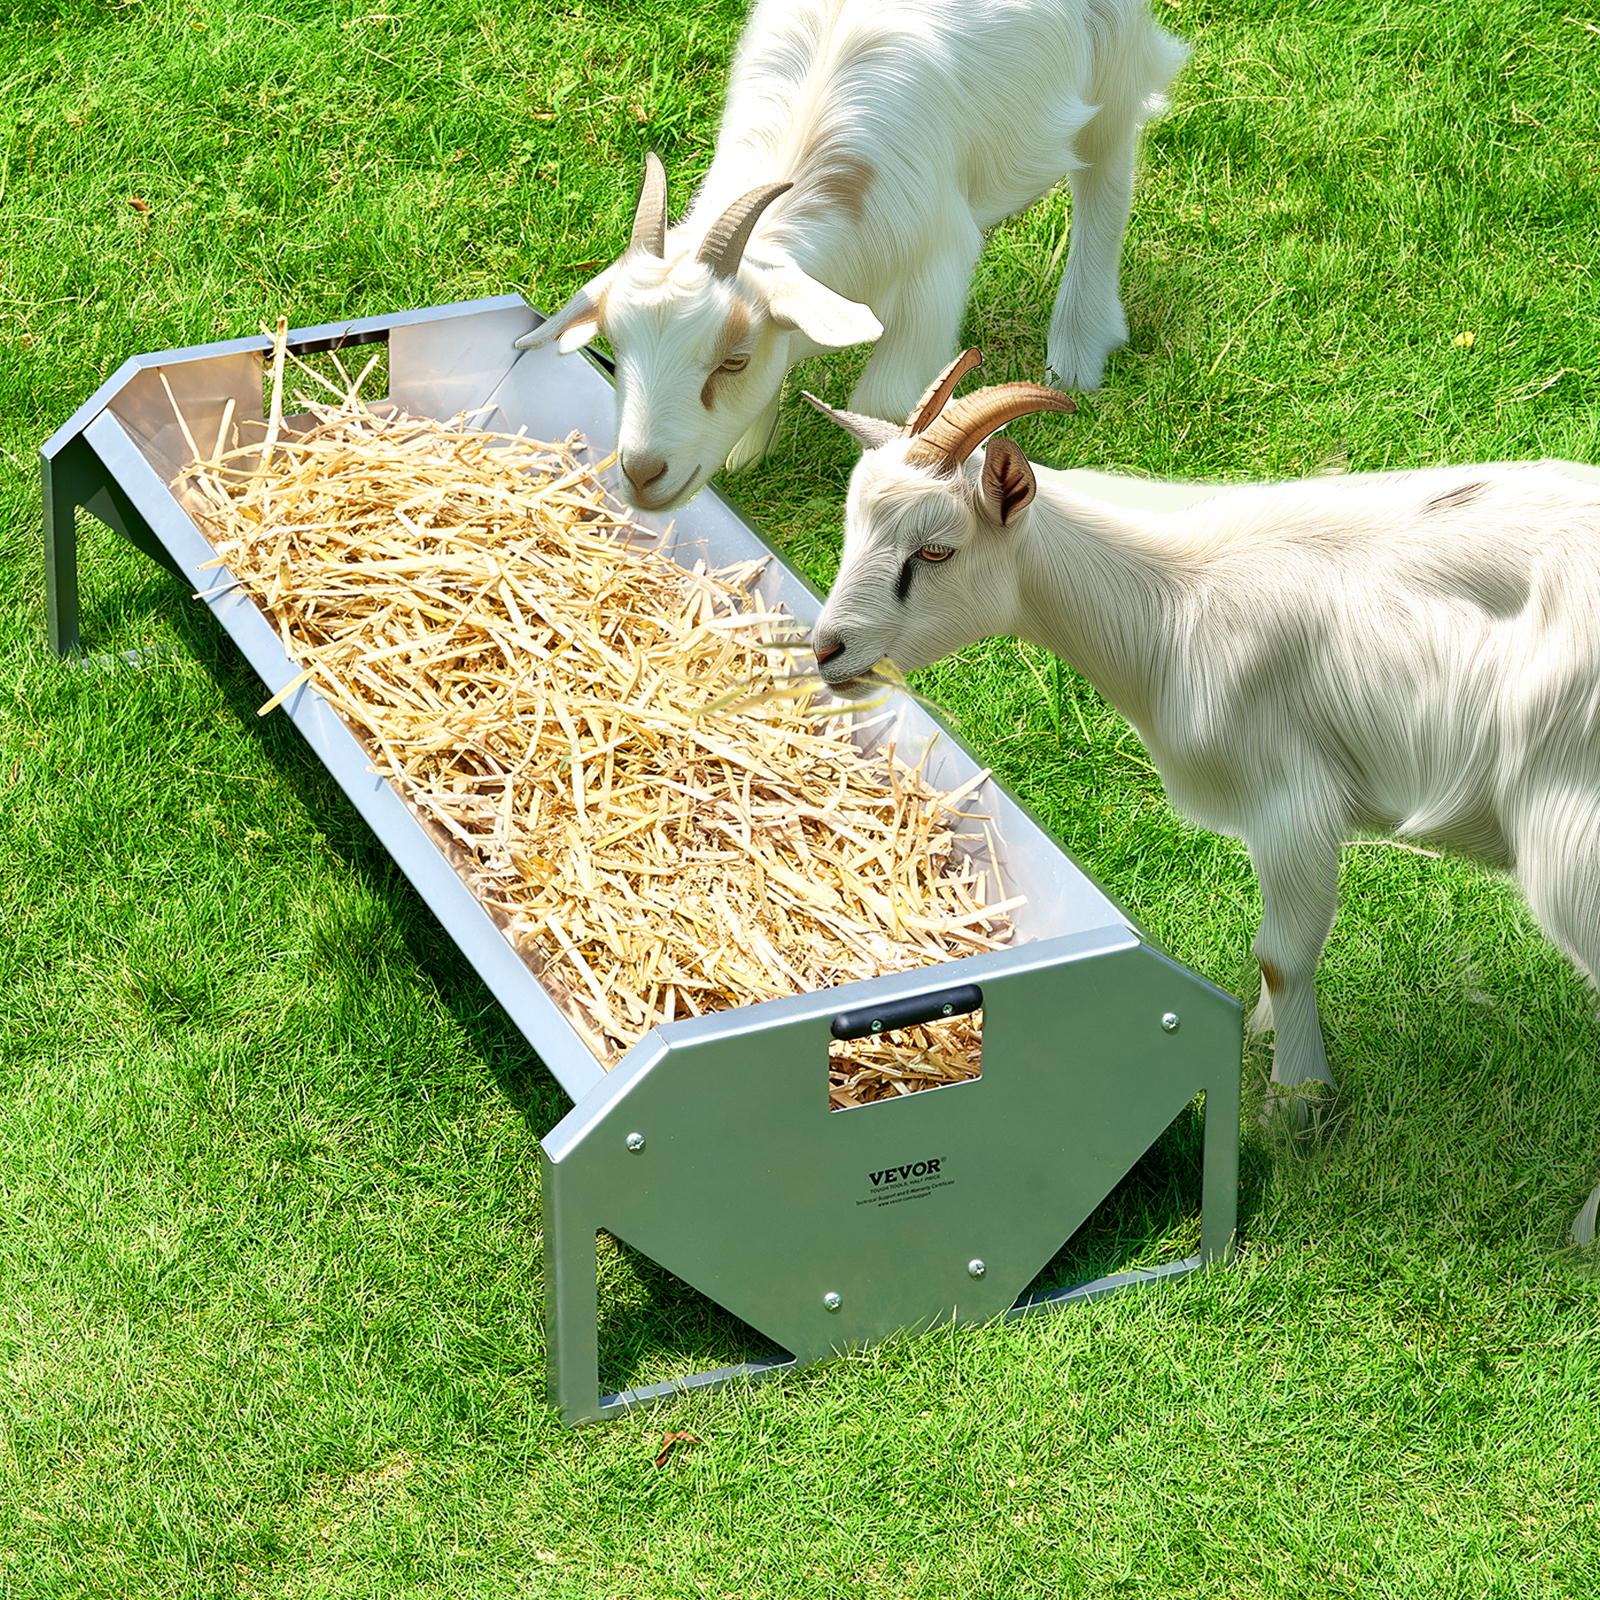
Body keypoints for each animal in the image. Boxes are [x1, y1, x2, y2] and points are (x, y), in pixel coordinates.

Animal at [514, 0, 1188, 511]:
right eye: (616, 345)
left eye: (733, 361)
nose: (641, 474)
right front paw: (748, 450)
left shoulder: (936, 264)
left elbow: (882, 401)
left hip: (1111, 46)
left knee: (1107, 164)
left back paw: (1080, 347)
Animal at [808, 349, 1600, 1237]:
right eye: (852, 528)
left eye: (937, 552)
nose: (828, 650)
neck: (1169, 598)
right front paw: (1263, 1038)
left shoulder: (1291, 796)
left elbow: (1283, 954)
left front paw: (1296, 1106)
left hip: (1570, 830)